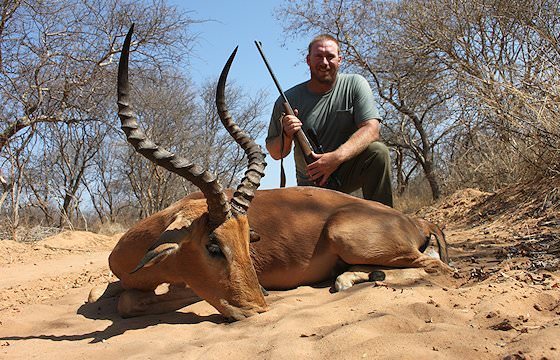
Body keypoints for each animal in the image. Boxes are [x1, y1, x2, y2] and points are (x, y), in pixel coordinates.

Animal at [91, 26, 450, 322]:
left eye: (247, 240)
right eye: (213, 246)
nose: (258, 306)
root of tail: (415, 220)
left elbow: (130, 302)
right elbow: (103, 293)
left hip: (348, 237)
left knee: (436, 265)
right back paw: (348, 278)